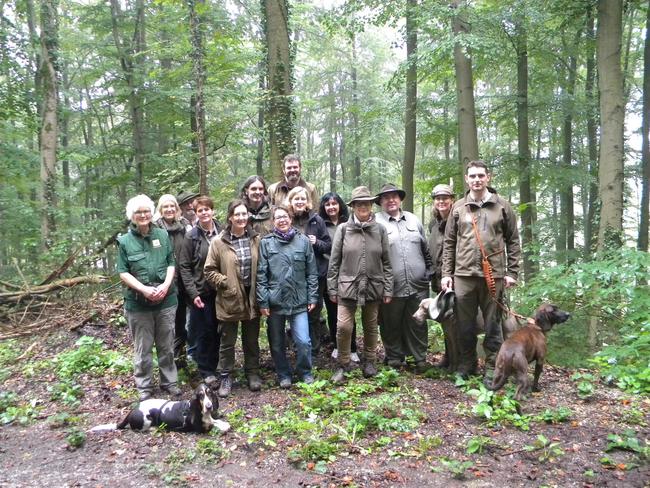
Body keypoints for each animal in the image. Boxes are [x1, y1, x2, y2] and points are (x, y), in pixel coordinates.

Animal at [88, 384, 230, 432]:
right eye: (200, 396)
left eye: (209, 393)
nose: (209, 406)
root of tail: (131, 411)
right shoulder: (200, 428)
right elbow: (213, 424)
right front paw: (222, 426)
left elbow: (215, 420)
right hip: (146, 420)